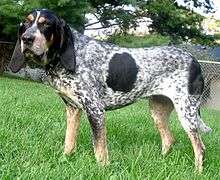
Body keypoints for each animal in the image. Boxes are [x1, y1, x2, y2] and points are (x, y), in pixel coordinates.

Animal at [9, 8, 211, 172]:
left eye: (46, 24)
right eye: (26, 23)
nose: (26, 39)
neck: (69, 57)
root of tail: (195, 61)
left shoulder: (95, 110)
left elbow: (99, 148)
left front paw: (103, 169)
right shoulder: (73, 109)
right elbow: (69, 142)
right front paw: (65, 159)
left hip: (186, 113)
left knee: (200, 148)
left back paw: (197, 173)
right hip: (158, 111)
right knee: (169, 140)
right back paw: (161, 162)